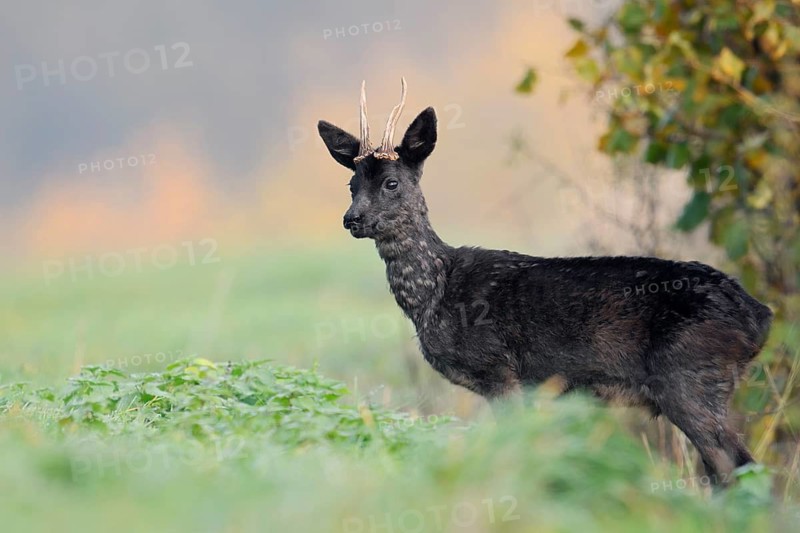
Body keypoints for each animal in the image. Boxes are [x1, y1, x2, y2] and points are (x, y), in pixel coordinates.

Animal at [317, 78, 774, 486]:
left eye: (391, 183)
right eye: (351, 184)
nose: (352, 219)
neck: (438, 294)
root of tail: (760, 316)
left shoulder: (499, 369)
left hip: (691, 373)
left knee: (740, 467)